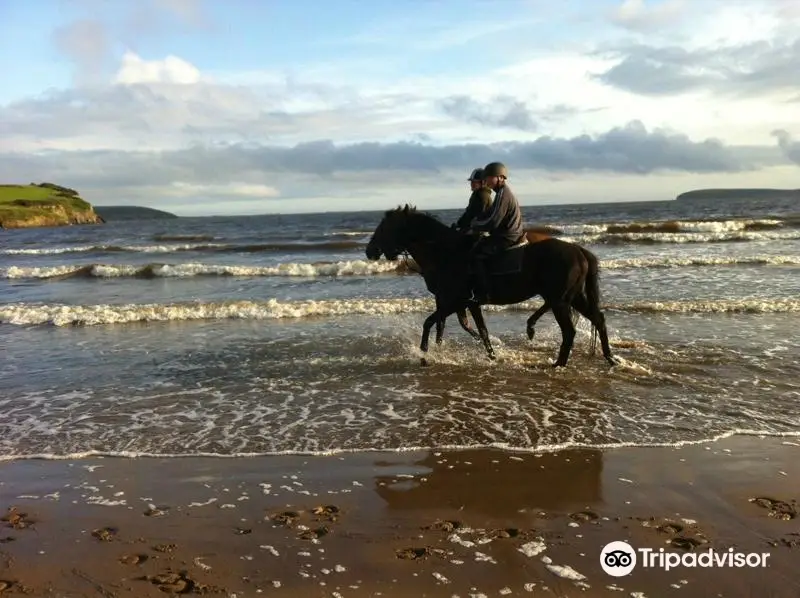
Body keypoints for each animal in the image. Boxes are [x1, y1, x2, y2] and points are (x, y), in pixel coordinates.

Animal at [364, 204, 620, 368]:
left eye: (386, 227)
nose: (370, 251)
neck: (445, 253)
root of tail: (578, 250)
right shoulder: (468, 303)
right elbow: (480, 329)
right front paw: (492, 355)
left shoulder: (454, 301)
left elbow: (430, 323)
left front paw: (425, 356)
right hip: (573, 298)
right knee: (598, 319)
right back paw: (609, 358)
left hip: (560, 300)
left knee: (570, 331)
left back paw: (559, 363)